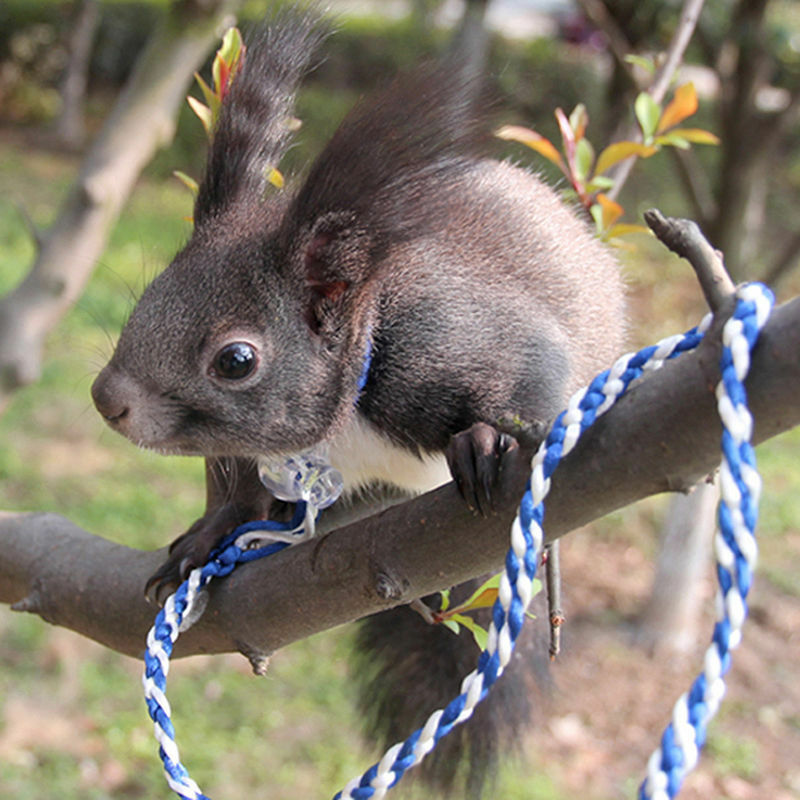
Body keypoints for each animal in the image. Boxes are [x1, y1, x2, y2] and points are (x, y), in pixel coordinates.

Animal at [91, 6, 625, 797]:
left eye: (236, 360)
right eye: (150, 295)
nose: (108, 399)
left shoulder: (451, 336)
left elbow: (535, 378)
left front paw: (487, 442)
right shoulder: (248, 450)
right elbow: (234, 488)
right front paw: (210, 535)